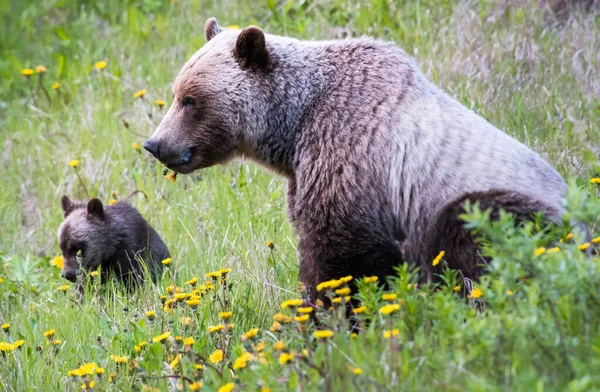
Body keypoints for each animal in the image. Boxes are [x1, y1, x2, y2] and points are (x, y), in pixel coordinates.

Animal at [143, 18, 564, 300]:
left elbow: (339, 253)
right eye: (178, 92)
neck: (295, 127)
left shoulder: (352, 159)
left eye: (191, 100)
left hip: (505, 209)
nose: (156, 144)